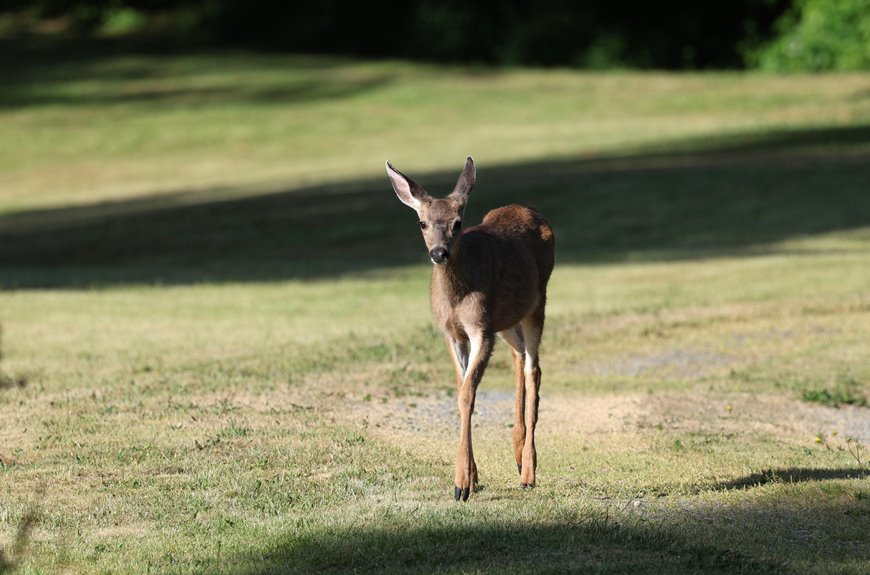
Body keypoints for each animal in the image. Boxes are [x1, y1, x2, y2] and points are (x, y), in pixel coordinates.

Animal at [386, 156, 555, 501]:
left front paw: (461, 483)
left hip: (537, 303)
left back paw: (529, 472)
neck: (456, 299)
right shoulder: (451, 332)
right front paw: (473, 478)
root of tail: (529, 210)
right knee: (519, 354)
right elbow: (461, 387)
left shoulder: (481, 328)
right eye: (422, 223)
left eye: (458, 222)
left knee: (534, 368)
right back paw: (518, 455)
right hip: (506, 319)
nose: (439, 253)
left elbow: (468, 395)